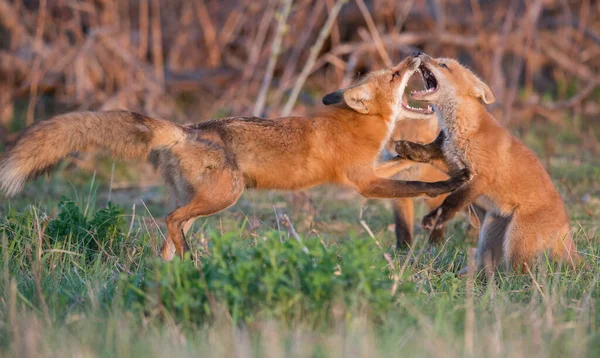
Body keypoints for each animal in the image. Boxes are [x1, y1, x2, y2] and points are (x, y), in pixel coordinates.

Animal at [0, 57, 468, 262]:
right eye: (396, 74)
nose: (416, 54)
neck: (360, 126)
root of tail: (187, 129)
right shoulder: (364, 183)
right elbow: (414, 184)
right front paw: (449, 184)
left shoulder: (372, 169)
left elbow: (404, 164)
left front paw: (437, 159)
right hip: (226, 195)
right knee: (169, 220)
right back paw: (189, 259)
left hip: (203, 201)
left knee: (168, 234)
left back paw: (172, 271)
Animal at [392, 52, 580, 272]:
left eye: (443, 65)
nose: (419, 53)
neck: (463, 129)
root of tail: (566, 222)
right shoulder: (450, 159)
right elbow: (426, 152)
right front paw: (406, 147)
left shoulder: (482, 176)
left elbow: (453, 200)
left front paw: (434, 219)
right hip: (490, 234)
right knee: (486, 266)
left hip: (516, 243)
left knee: (519, 274)